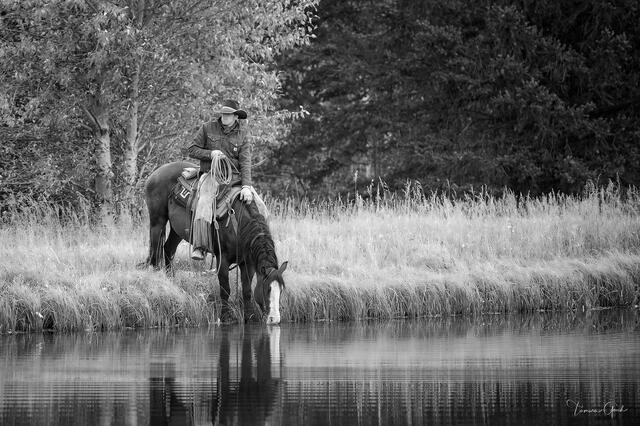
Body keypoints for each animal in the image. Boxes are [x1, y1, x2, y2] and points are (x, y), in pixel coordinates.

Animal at [143, 161, 288, 324]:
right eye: (266, 289)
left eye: (281, 289)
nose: (274, 319)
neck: (239, 224)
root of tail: (156, 173)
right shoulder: (222, 259)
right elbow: (225, 289)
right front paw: (225, 316)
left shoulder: (248, 263)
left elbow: (247, 290)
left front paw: (249, 316)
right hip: (157, 222)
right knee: (155, 256)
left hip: (176, 230)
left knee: (168, 250)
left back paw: (171, 282)